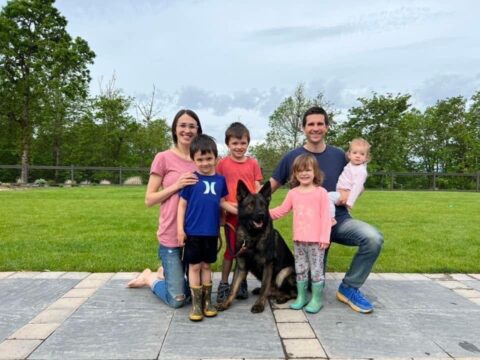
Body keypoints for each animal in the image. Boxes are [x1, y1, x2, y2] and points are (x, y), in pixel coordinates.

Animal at [217, 180, 296, 312]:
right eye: (251, 205)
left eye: (263, 205)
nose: (261, 214)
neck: (252, 236)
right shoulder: (241, 267)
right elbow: (233, 287)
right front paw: (225, 303)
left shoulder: (268, 264)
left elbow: (264, 286)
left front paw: (259, 304)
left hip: (284, 272)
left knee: (294, 292)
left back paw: (282, 297)